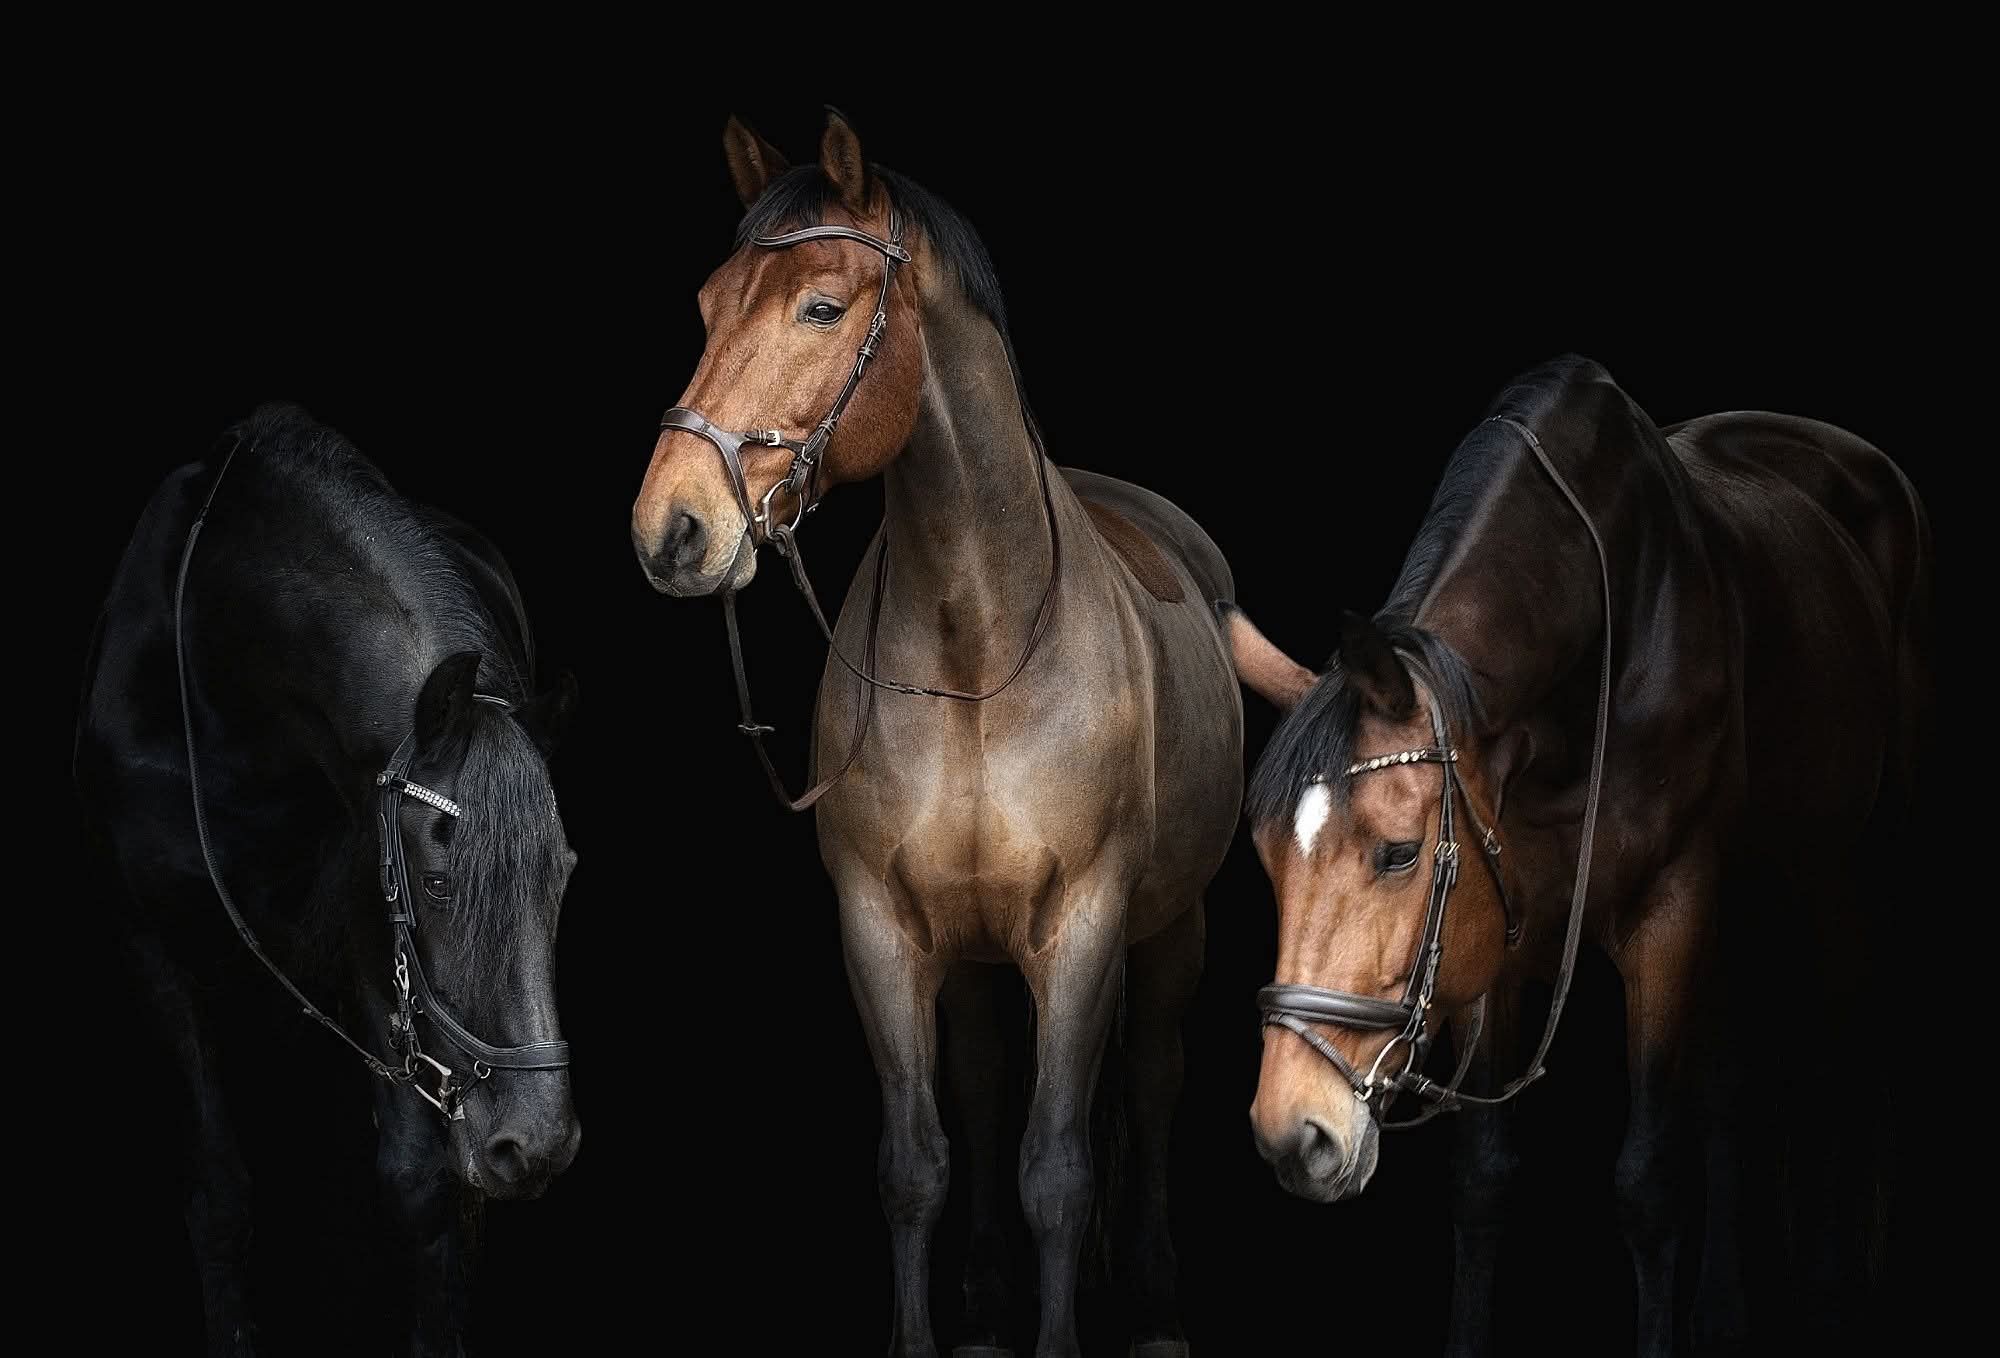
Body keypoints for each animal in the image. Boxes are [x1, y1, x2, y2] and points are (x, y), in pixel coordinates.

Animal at [75, 404, 583, 1357]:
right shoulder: (150, 942)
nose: (535, 1143)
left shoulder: (373, 955)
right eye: (435, 879)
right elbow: (220, 1191)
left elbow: (422, 1189)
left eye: (563, 878)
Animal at [629, 111, 1243, 1358]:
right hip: (966, 960)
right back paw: (987, 1306)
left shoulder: (1082, 926)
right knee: (982, 1081)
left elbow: (1057, 1170)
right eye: (710, 305)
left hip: (1170, 928)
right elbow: (916, 1162)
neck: (977, 648)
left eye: (821, 307)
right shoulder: (879, 924)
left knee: (1151, 1084)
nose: (673, 527)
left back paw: (1154, 1303)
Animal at [1222, 354, 1930, 1355]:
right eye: (1268, 864)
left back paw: (1839, 1286)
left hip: (1849, 861)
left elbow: (1649, 1184)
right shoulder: (1495, 929)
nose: (1296, 1135)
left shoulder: (1670, 914)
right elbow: (1483, 1180)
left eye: (1398, 854)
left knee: (1850, 1046)